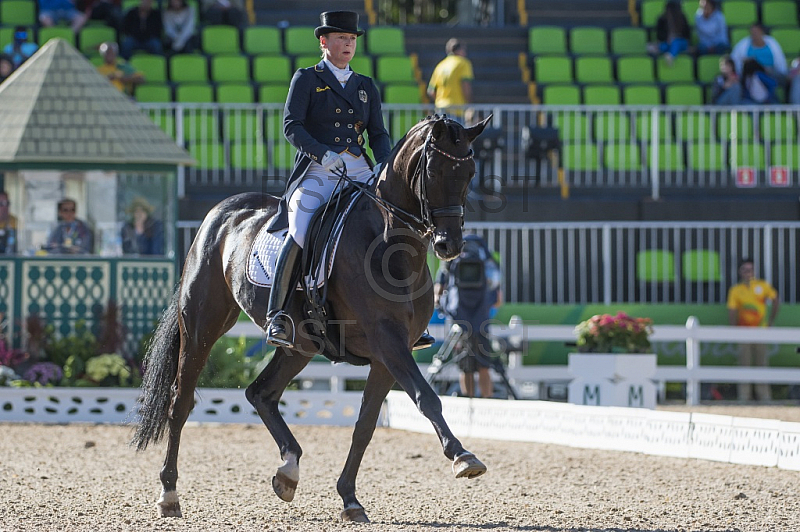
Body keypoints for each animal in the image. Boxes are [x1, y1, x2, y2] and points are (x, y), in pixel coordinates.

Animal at [133, 113, 494, 524]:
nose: (450, 245)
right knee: (181, 402)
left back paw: (288, 471)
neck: (390, 244)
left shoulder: (387, 355)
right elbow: (427, 398)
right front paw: (463, 456)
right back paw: (169, 494)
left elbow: (365, 425)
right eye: (433, 171)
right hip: (201, 327)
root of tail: (222, 210)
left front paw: (350, 498)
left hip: (299, 346)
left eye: (469, 172)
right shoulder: (388, 341)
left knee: (261, 393)